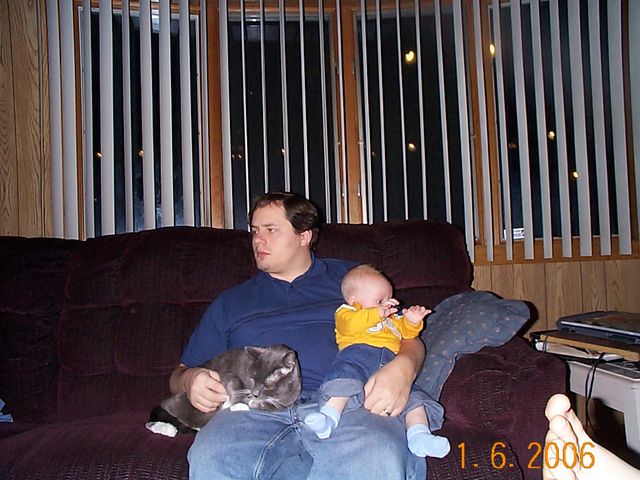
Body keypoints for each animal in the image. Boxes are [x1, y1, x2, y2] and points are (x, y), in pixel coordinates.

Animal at [148, 344, 301, 435]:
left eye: (267, 385)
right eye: (252, 378)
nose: (254, 394)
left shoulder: (289, 398)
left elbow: (274, 406)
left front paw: (255, 403)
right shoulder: (226, 374)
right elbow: (236, 382)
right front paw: (240, 404)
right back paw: (164, 428)